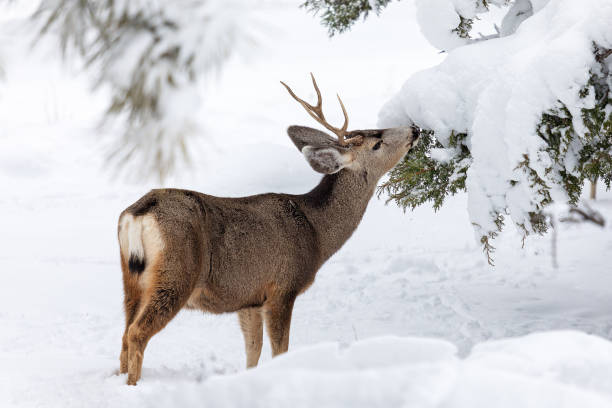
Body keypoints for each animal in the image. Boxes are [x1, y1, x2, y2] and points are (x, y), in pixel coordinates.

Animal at [116, 74, 420, 386]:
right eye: (377, 143)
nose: (415, 129)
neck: (316, 231)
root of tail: (138, 213)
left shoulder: (250, 298)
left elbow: (253, 351)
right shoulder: (282, 288)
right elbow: (279, 350)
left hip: (132, 278)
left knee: (125, 334)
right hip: (177, 273)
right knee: (137, 333)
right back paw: (133, 386)